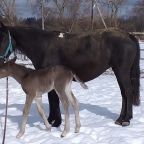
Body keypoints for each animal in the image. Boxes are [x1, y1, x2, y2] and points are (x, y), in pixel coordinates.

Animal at [0, 22, 140, 126]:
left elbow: (54, 100)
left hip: (121, 71)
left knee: (127, 92)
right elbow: (52, 99)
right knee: (124, 94)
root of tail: (128, 36)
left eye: (3, 38)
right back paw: (123, 118)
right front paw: (51, 121)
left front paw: (55, 123)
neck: (44, 46)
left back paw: (125, 120)